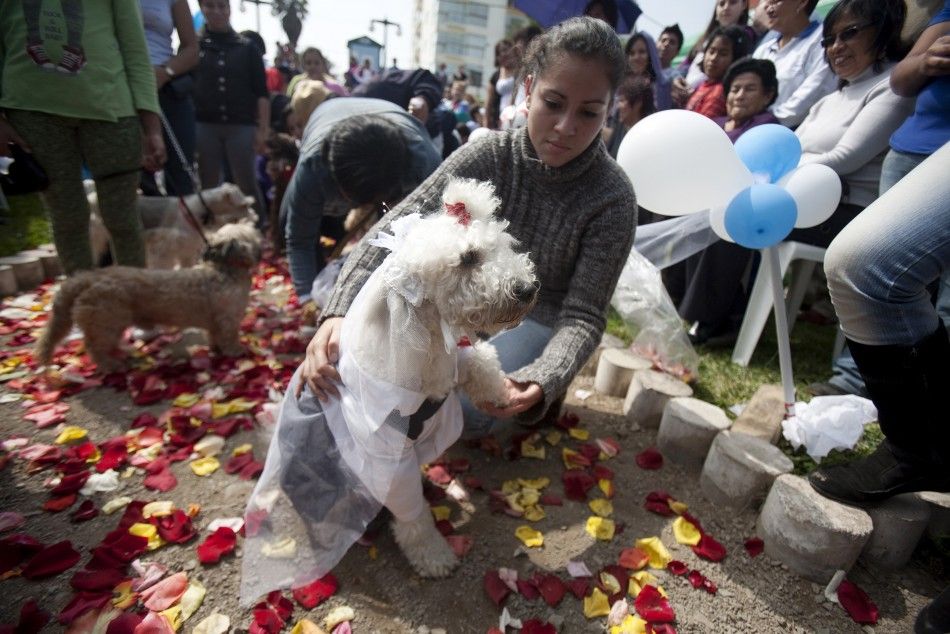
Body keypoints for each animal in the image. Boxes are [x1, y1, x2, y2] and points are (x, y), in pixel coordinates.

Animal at [35, 222, 262, 370]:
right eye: (252, 236)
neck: (225, 271)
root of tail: (86, 278)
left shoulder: (215, 322)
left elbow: (214, 336)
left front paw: (216, 349)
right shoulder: (228, 320)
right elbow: (229, 337)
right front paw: (235, 351)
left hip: (109, 323)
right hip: (106, 322)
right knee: (94, 347)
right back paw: (111, 364)